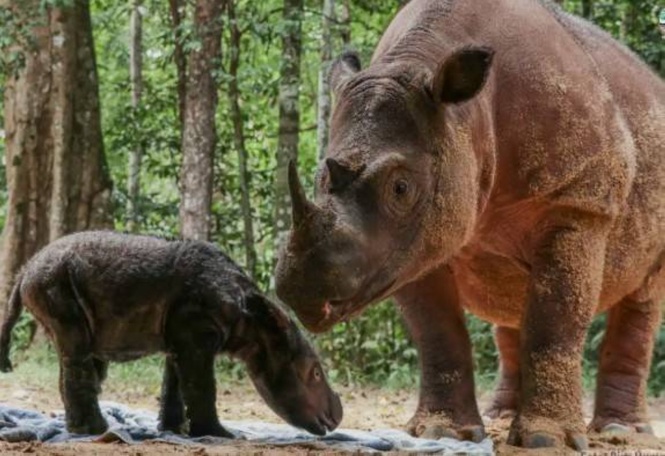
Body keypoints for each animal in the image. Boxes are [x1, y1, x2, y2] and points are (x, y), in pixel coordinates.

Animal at [0, 231, 343, 437]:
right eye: (314, 374)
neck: (254, 324)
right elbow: (202, 385)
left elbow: (176, 383)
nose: (338, 416)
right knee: (77, 347)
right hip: (53, 282)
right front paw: (221, 435)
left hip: (54, 281)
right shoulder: (197, 330)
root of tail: (25, 270)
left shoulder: (183, 334)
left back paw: (86, 430)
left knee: (81, 353)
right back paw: (96, 431)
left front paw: (175, 431)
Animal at [275, 0, 664, 450]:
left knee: (642, 297)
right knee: (512, 302)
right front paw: (444, 431)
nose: (300, 288)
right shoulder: (414, 245)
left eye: (401, 188)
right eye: (319, 178)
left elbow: (556, 322)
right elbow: (437, 332)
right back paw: (503, 416)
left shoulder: (579, 201)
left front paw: (546, 441)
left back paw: (620, 431)